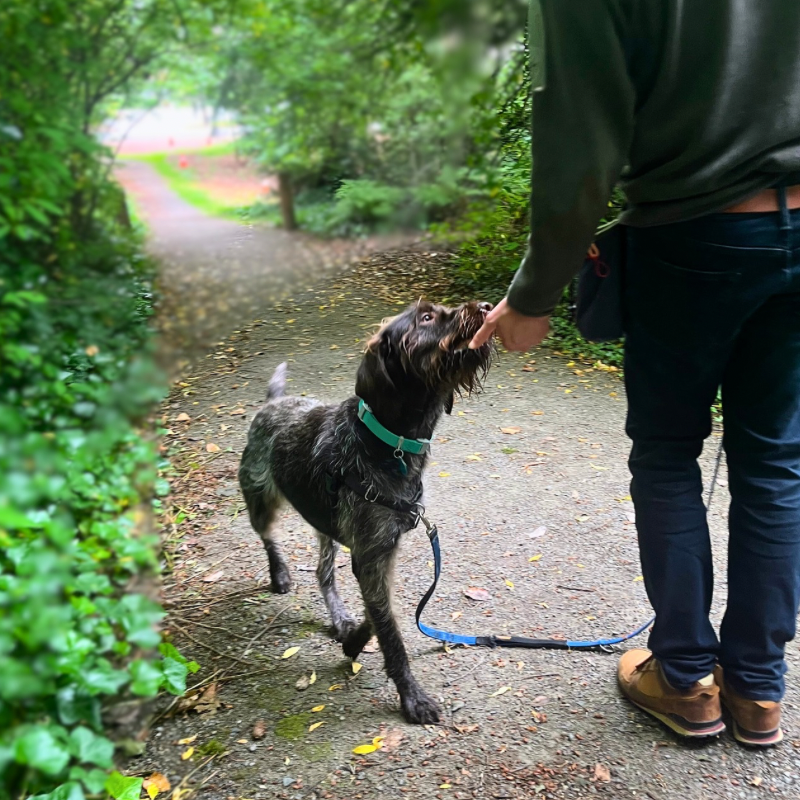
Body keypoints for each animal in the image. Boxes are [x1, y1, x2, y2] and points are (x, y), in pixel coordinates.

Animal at [238, 299, 493, 723]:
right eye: (426, 318)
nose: (488, 307)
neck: (393, 444)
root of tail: (273, 403)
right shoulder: (372, 556)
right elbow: (390, 630)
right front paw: (412, 697)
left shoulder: (379, 553)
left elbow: (381, 615)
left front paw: (355, 638)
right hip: (262, 501)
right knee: (268, 536)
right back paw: (280, 574)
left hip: (324, 524)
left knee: (324, 572)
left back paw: (340, 617)